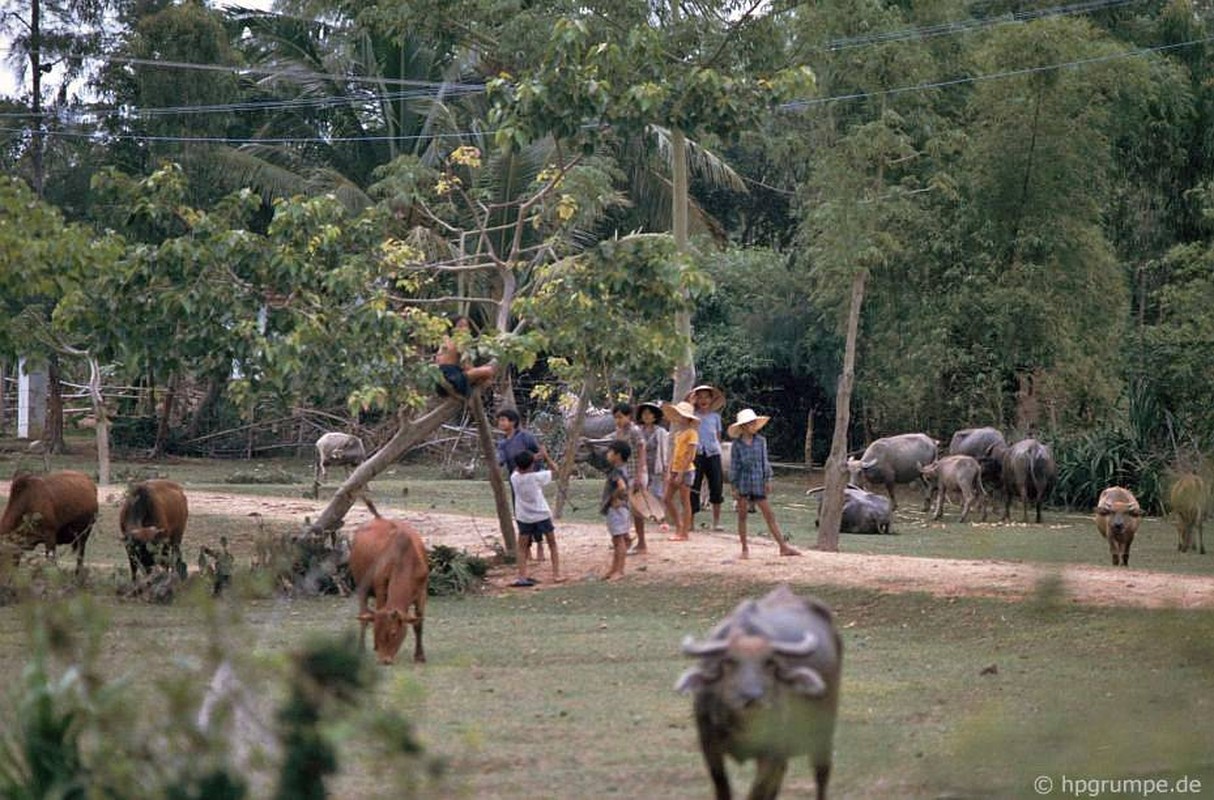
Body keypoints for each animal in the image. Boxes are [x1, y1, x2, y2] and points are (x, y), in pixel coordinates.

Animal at [349, 509, 429, 665]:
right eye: (376, 631)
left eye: (393, 633)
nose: (384, 660)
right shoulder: (380, 588)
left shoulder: (422, 592)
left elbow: (418, 623)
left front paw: (420, 656)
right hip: (361, 586)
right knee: (363, 616)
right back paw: (362, 648)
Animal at [674, 582, 844, 800]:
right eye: (729, 661)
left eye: (770, 662)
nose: (752, 697)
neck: (744, 727)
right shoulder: (709, 747)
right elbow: (723, 789)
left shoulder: (771, 752)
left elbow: (757, 792)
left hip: (823, 734)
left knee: (821, 775)